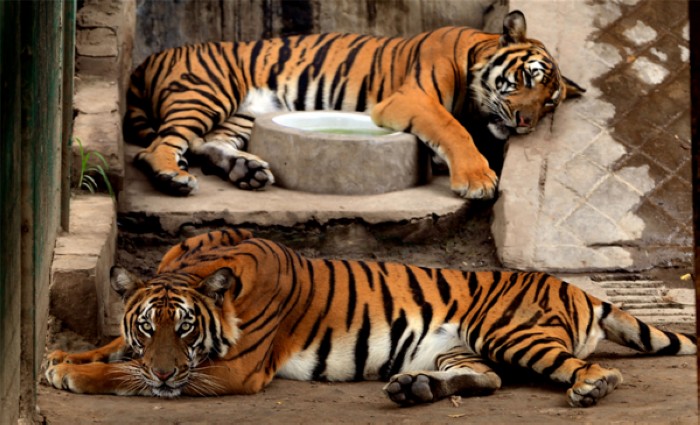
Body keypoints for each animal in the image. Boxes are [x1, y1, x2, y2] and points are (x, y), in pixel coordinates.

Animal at [47, 229, 696, 408]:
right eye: (146, 326)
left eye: (184, 328)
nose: (163, 373)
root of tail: (576, 287)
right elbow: (111, 350)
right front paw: (61, 356)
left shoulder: (231, 369)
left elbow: (119, 372)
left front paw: (69, 374)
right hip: (456, 345)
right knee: (486, 378)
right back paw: (414, 388)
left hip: (511, 331)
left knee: (587, 368)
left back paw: (592, 388)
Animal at [127, 9, 584, 199]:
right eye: (527, 78)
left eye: (549, 103)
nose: (525, 122)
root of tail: (150, 57)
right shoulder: (412, 97)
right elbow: (452, 130)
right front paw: (477, 179)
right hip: (206, 92)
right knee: (159, 146)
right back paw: (173, 178)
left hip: (242, 114)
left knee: (205, 142)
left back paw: (248, 171)